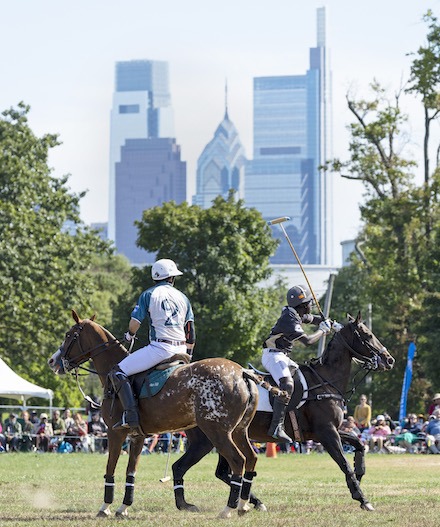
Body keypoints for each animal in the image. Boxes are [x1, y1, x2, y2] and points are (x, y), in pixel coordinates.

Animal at [47, 310, 272, 520]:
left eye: (69, 335)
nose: (52, 361)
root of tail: (242, 373)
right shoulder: (137, 436)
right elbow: (131, 471)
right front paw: (123, 507)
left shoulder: (114, 432)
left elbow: (111, 468)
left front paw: (105, 507)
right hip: (238, 430)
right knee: (250, 458)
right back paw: (243, 505)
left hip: (217, 431)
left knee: (238, 461)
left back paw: (228, 509)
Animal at [172, 314, 396, 512]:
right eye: (367, 335)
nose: (389, 360)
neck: (325, 380)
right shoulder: (327, 432)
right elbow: (344, 463)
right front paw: (363, 499)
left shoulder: (324, 431)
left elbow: (358, 443)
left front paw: (360, 473)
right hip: (206, 440)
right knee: (182, 467)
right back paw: (188, 504)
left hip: (223, 438)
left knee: (222, 471)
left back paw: (254, 501)